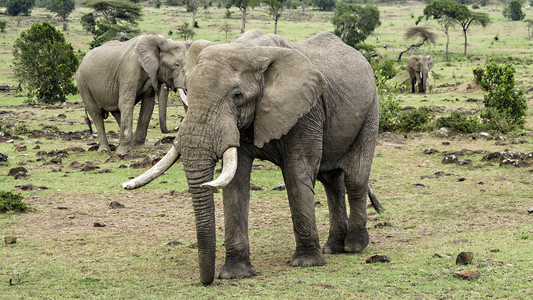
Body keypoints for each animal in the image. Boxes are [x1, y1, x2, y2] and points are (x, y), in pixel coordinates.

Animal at [123, 31, 382, 286]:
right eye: (188, 90)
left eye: (237, 95)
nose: (207, 282)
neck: (250, 51)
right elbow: (236, 180)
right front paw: (235, 273)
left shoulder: (307, 111)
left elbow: (297, 173)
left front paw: (306, 263)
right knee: (331, 180)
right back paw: (333, 248)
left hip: (371, 109)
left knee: (355, 178)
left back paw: (354, 246)